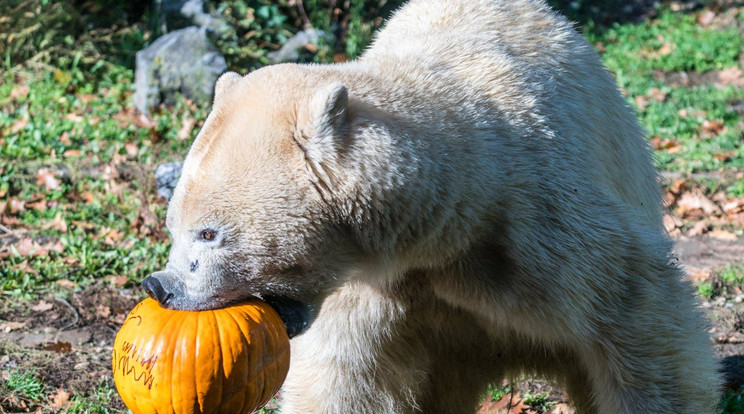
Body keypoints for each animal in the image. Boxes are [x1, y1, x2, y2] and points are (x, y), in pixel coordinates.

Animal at [140, 0, 720, 412]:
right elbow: (342, 379)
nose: (159, 286)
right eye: (171, 225)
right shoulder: (374, 287)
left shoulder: (545, 232)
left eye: (210, 233)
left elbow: (640, 323)